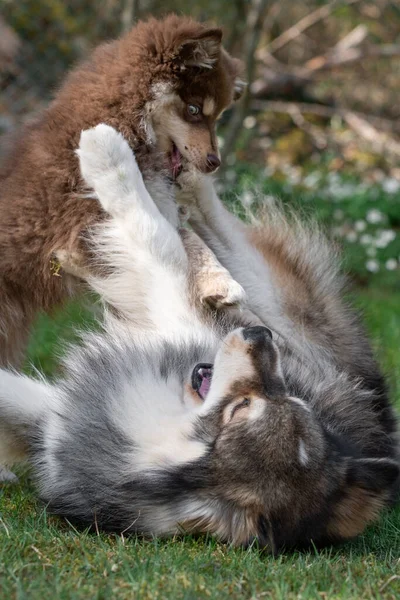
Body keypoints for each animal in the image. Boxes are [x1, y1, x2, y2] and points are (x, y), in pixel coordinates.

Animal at [0, 15, 244, 366]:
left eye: (218, 117)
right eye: (194, 110)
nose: (214, 163)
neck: (122, 118)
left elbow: (184, 238)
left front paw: (218, 281)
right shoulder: (85, 230)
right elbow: (169, 244)